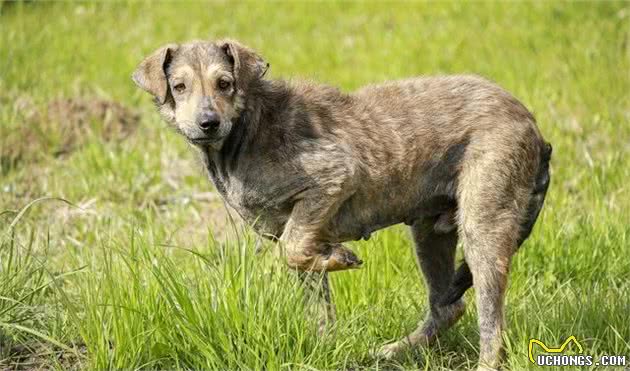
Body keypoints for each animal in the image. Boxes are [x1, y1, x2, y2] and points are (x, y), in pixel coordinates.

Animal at [132, 39, 552, 370]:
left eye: (225, 83)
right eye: (179, 86)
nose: (208, 122)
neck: (245, 130)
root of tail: (533, 125)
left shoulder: (334, 177)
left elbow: (292, 249)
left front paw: (341, 257)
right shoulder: (303, 237)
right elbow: (313, 291)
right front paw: (325, 346)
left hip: (483, 228)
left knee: (491, 325)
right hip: (428, 232)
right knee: (448, 306)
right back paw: (393, 352)